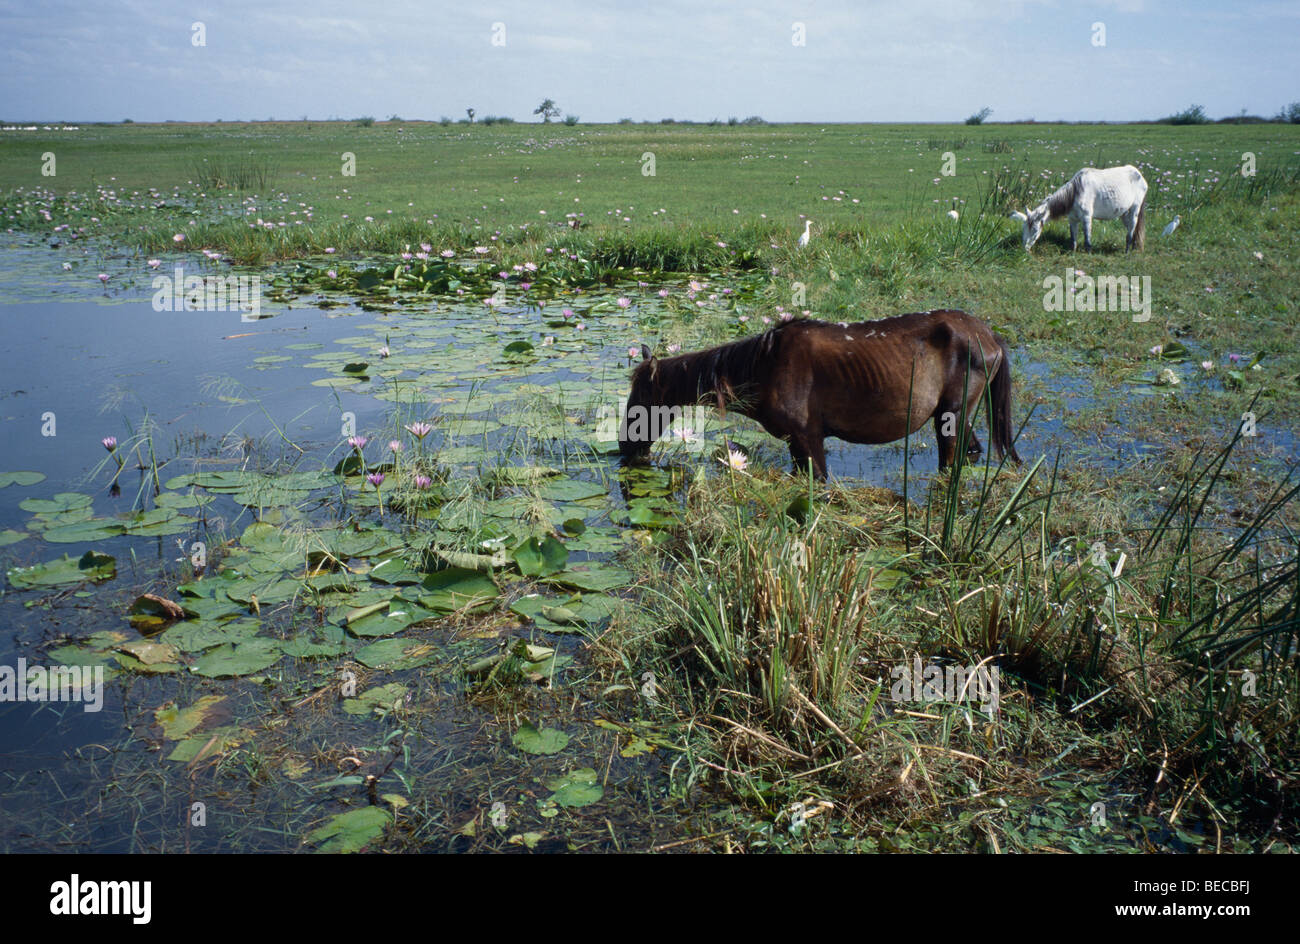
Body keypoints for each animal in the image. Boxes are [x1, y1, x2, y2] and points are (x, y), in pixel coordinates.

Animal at [618, 310, 1022, 482]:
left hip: (950, 417)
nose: (625, 447)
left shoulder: (809, 439)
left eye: (640, 401)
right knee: (972, 450)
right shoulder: (796, 445)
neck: (765, 364)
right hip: (955, 416)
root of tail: (988, 335)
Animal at [1011, 165, 1148, 252]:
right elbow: (1073, 239)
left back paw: (1127, 252)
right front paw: (1073, 254)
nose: (1025, 250)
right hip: (1124, 213)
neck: (1075, 193)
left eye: (1035, 230)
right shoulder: (1072, 219)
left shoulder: (1086, 217)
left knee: (1131, 229)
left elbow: (1087, 240)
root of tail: (1139, 175)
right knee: (1132, 229)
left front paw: (1088, 254)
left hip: (1135, 209)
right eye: (1024, 228)